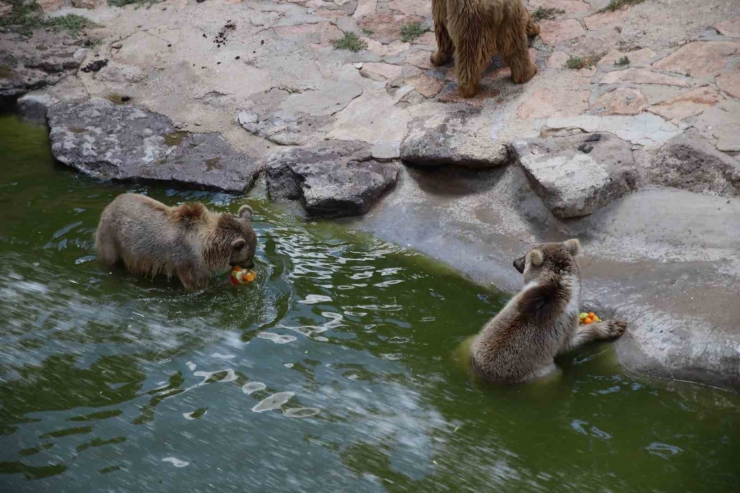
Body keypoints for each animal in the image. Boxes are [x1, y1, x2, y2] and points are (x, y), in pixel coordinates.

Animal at [95, 192, 258, 290]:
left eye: (253, 252)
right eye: (248, 255)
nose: (252, 264)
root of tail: (111, 204)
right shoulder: (187, 261)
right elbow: (197, 285)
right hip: (112, 237)